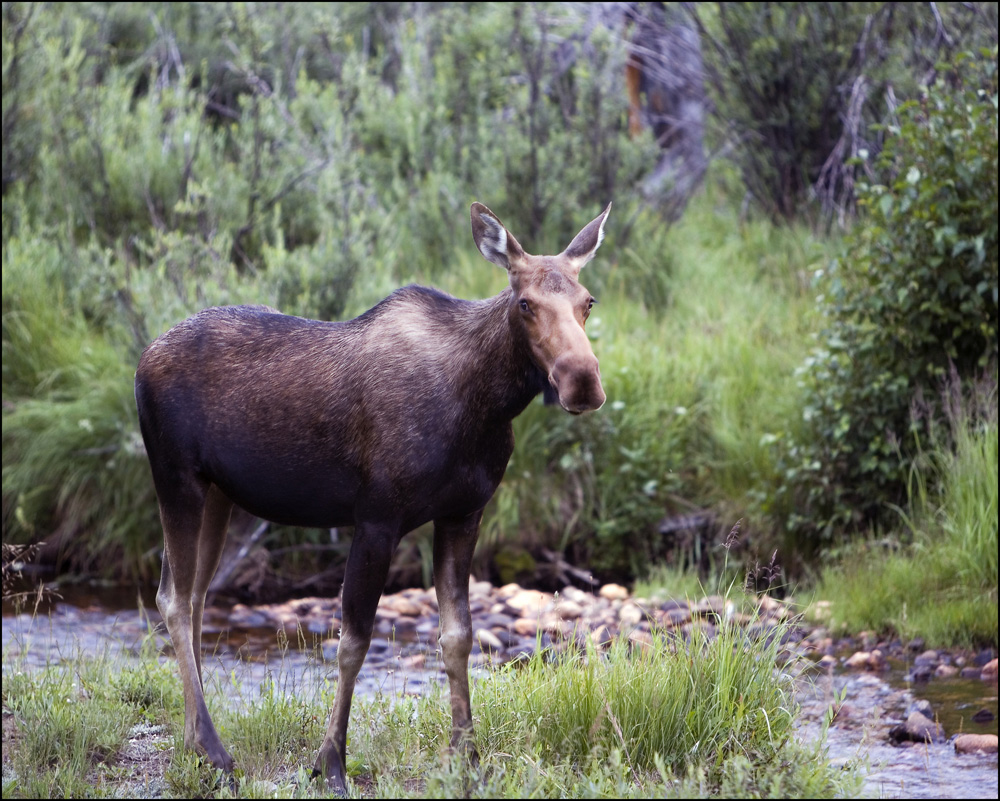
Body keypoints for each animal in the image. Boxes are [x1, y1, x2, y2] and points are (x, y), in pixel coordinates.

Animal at [134, 200, 611, 793]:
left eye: (588, 300)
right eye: (525, 302)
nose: (582, 380)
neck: (485, 403)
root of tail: (142, 358)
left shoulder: (464, 513)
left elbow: (457, 636)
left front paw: (468, 760)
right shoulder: (377, 518)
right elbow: (352, 643)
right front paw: (330, 763)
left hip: (219, 493)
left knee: (195, 597)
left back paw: (193, 742)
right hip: (174, 476)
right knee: (173, 600)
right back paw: (214, 750)